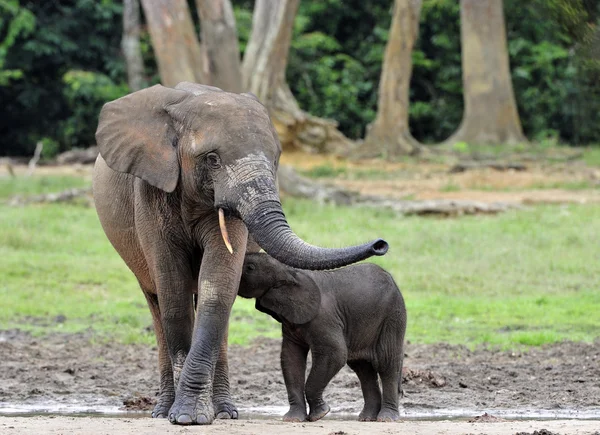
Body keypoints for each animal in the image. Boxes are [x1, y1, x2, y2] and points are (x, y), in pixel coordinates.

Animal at [91, 82, 386, 426]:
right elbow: (173, 294)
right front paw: (182, 417)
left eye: (276, 159)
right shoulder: (151, 188)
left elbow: (217, 289)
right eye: (212, 159)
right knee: (156, 302)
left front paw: (192, 415)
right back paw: (162, 410)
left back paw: (225, 412)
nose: (381, 245)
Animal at [237, 254, 406, 424]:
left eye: (250, 267)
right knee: (363, 368)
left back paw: (386, 418)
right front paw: (293, 419)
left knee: (386, 363)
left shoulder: (323, 318)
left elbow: (335, 353)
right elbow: (291, 358)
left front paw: (320, 414)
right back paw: (366, 418)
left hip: (392, 317)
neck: (289, 271)